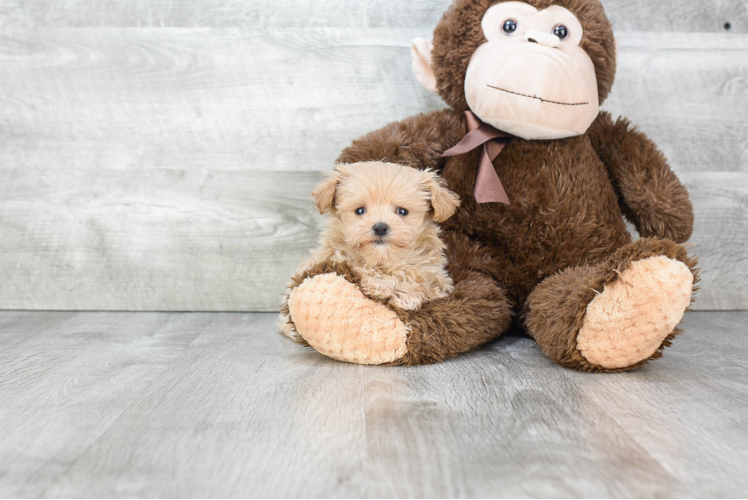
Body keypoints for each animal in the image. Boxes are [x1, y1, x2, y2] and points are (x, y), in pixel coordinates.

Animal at [280, 162, 458, 338]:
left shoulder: (439, 279)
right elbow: (360, 269)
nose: (380, 227)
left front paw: (405, 295)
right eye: (360, 210)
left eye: (402, 211)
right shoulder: (335, 258)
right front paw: (379, 285)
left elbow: (421, 282)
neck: (382, 259)